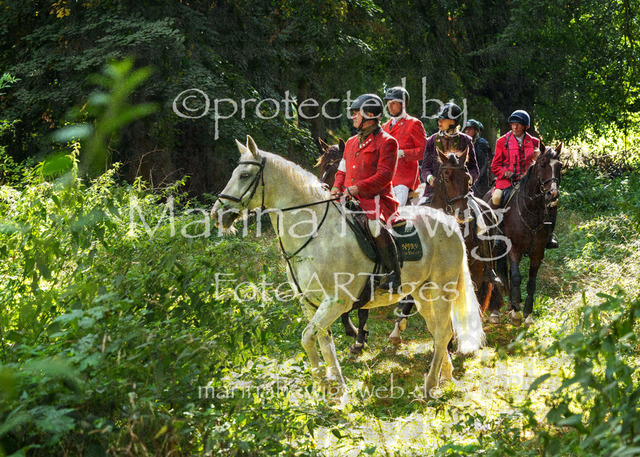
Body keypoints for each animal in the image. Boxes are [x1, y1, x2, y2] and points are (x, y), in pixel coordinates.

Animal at [212, 136, 485, 398]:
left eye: (244, 175)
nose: (217, 214)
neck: (315, 234)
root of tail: (449, 220)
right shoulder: (310, 304)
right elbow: (323, 343)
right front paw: (335, 389)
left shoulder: (336, 301)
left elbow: (307, 338)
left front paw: (325, 383)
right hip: (421, 293)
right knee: (439, 331)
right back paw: (444, 376)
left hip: (441, 291)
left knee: (442, 332)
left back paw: (429, 386)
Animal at [485, 144, 562, 326]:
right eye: (542, 164)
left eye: (560, 166)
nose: (553, 194)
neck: (531, 211)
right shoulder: (514, 249)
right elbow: (515, 278)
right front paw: (517, 313)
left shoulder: (537, 253)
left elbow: (531, 282)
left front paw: (527, 313)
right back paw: (496, 311)